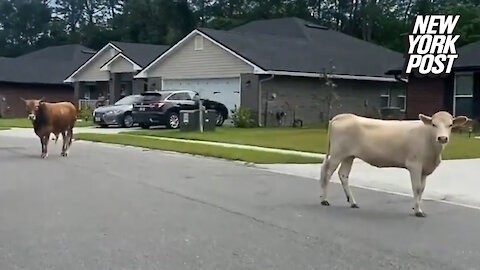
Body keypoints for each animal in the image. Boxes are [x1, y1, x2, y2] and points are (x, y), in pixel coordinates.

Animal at [320, 112, 466, 217]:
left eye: (450, 125)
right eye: (434, 124)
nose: (442, 138)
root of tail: (343, 116)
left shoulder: (424, 169)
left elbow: (422, 189)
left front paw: (417, 207)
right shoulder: (414, 165)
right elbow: (417, 187)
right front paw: (417, 211)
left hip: (348, 156)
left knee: (343, 175)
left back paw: (352, 202)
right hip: (337, 153)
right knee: (327, 172)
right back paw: (324, 200)